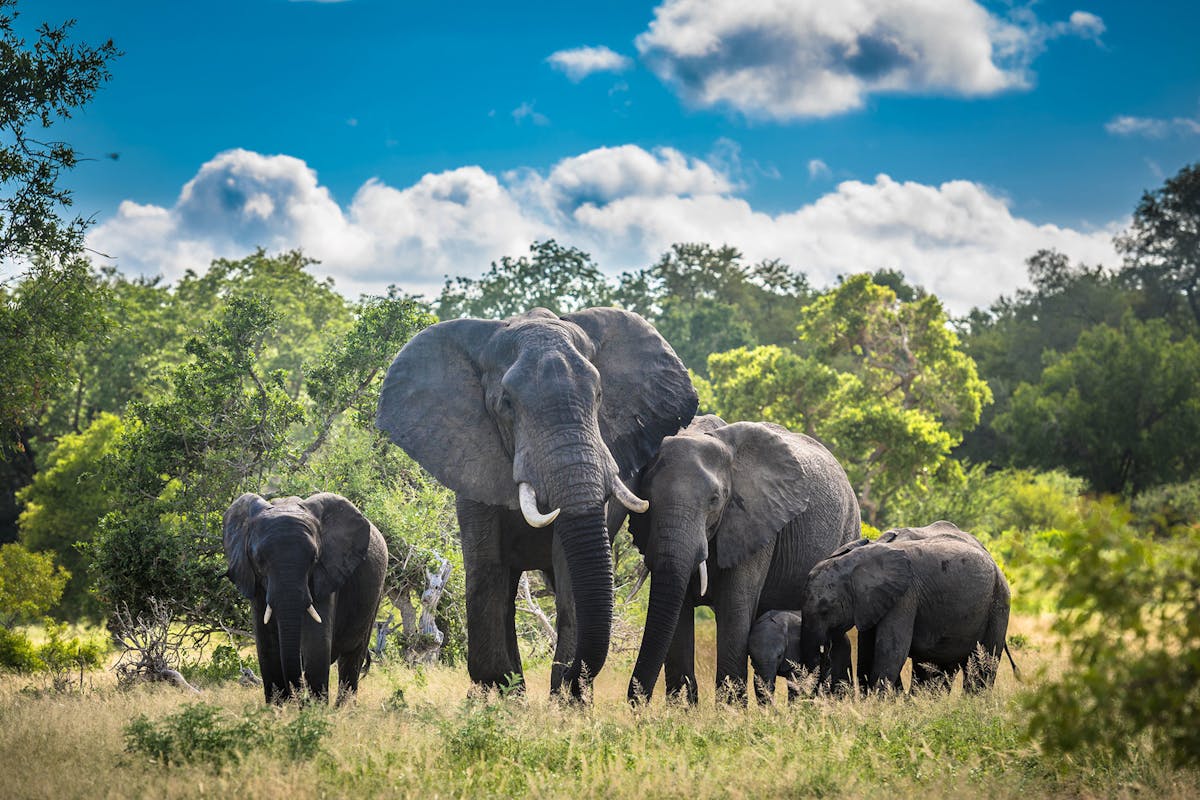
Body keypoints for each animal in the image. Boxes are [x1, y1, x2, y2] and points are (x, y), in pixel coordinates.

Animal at [374, 309, 696, 695]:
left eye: (599, 395)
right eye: (506, 404)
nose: (575, 678)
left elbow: (569, 570)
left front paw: (565, 697)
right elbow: (486, 568)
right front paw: (501, 693)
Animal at [619, 422, 864, 705]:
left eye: (715, 499)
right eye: (647, 496)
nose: (636, 703)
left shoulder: (754, 521)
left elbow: (734, 608)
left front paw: (730, 711)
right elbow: (679, 612)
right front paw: (682, 711)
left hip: (848, 530)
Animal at [801, 525, 1017, 695]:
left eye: (825, 610)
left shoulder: (904, 597)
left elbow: (890, 651)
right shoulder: (873, 602)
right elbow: (867, 651)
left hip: (998, 604)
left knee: (982, 666)